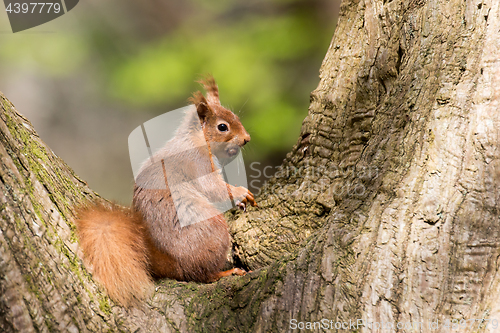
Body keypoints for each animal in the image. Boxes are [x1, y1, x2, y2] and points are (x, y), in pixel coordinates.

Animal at [78, 76, 258, 306]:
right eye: (222, 127)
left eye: (236, 117)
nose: (247, 138)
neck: (195, 140)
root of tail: (172, 264)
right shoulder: (198, 163)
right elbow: (213, 187)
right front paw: (240, 192)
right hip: (214, 232)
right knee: (202, 275)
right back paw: (226, 272)